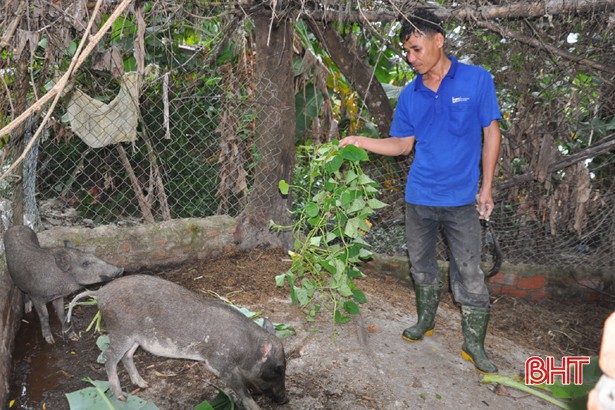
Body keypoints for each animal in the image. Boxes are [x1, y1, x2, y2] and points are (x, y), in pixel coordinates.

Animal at [67, 274, 288, 408]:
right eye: (278, 368)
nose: (285, 399)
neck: (245, 349)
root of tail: (99, 292)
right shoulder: (218, 364)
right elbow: (241, 389)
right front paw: (256, 407)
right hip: (121, 331)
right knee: (110, 357)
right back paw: (121, 397)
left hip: (135, 338)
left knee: (127, 356)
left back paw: (143, 384)